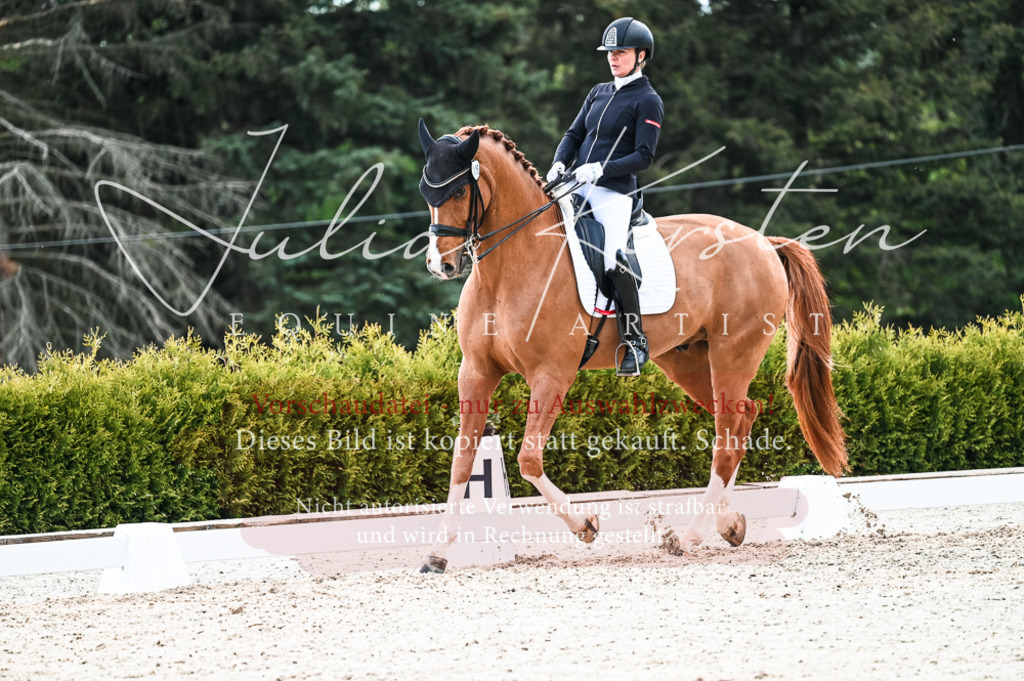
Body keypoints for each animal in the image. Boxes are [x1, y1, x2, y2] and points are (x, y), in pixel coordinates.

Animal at [415, 120, 847, 573]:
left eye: (459, 192)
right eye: (427, 191)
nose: (441, 265)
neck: (512, 267)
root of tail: (764, 243)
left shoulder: (551, 376)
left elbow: (529, 460)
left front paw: (586, 525)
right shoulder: (476, 372)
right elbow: (462, 461)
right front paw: (437, 554)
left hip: (734, 354)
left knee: (727, 438)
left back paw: (689, 536)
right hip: (689, 360)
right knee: (740, 420)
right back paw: (729, 524)